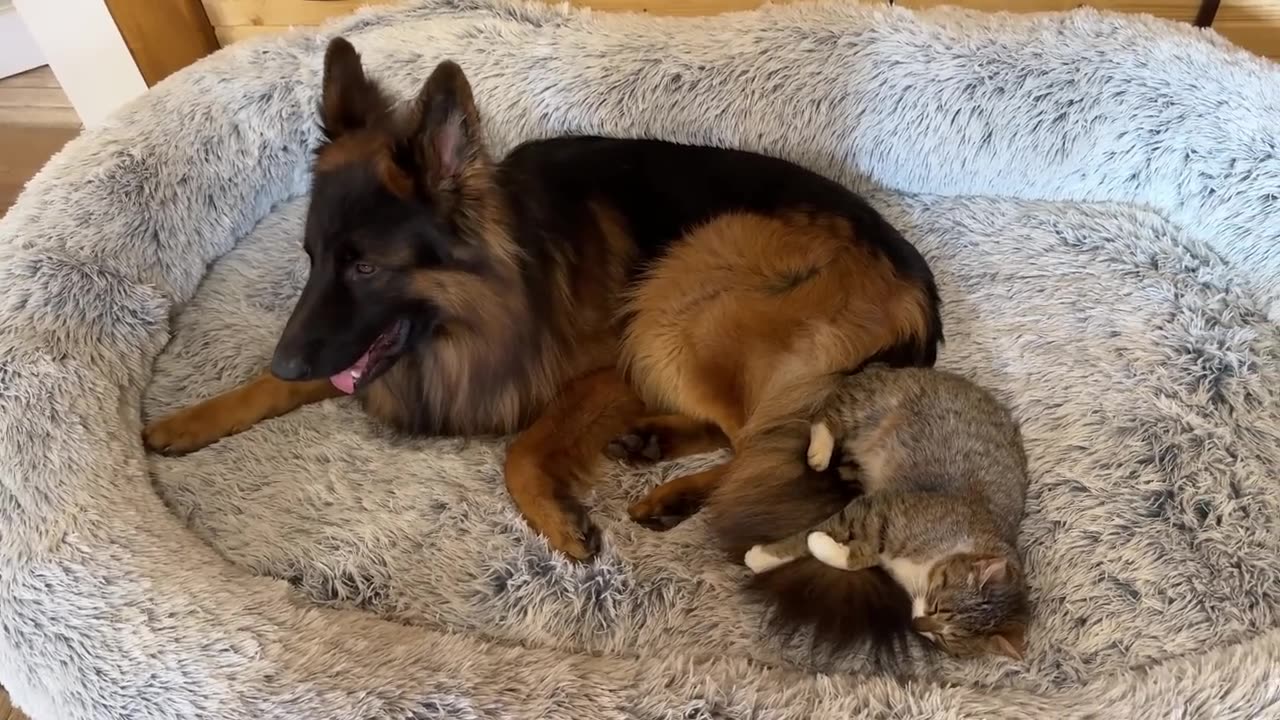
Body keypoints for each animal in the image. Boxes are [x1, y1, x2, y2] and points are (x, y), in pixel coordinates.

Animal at [147, 37, 942, 638]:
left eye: (366, 266)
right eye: (311, 258)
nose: (287, 355)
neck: (480, 305)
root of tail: (915, 284)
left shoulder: (604, 371)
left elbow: (522, 450)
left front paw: (555, 520)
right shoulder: (356, 349)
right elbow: (274, 384)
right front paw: (188, 419)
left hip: (677, 294)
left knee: (765, 445)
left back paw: (678, 488)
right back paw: (653, 447)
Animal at [742, 366, 1029, 661]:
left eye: (945, 638)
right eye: (938, 606)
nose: (917, 624)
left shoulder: (878, 531)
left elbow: (854, 558)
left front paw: (824, 546)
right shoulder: (880, 508)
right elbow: (807, 536)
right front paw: (763, 557)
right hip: (868, 404)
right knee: (828, 412)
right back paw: (820, 451)